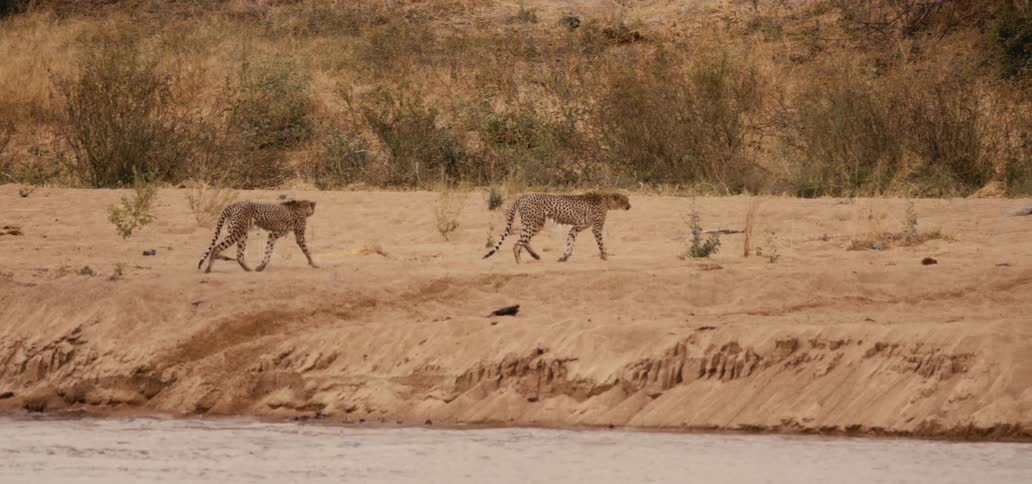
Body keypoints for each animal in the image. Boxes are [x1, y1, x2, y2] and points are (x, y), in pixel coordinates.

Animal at [483, 192, 630, 263]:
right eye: (626, 200)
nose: (630, 206)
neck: (607, 200)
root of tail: (523, 196)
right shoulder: (596, 228)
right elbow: (600, 243)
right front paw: (605, 256)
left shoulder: (576, 227)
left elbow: (570, 242)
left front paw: (564, 257)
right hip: (533, 223)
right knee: (517, 243)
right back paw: (519, 260)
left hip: (534, 223)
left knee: (524, 240)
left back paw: (535, 256)